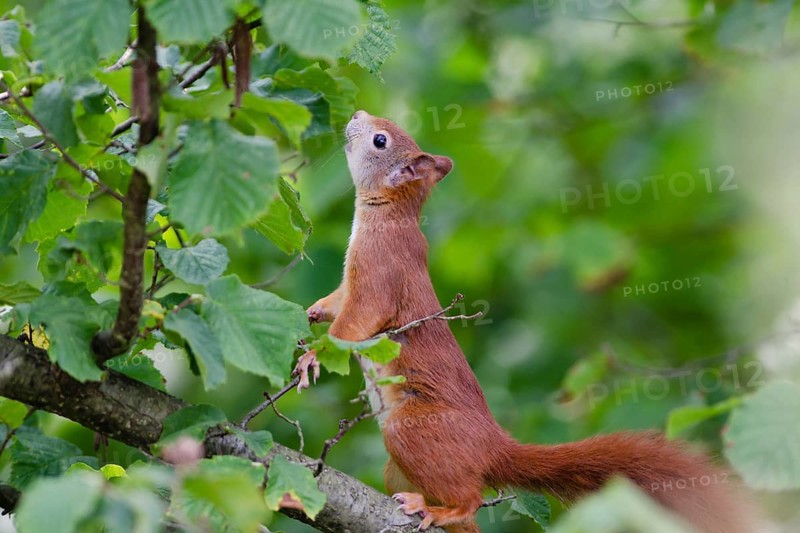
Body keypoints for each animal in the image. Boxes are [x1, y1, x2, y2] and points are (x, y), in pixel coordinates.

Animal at [297, 110, 757, 533]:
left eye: (380, 139)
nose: (357, 114)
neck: (388, 215)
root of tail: (493, 448)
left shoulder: (381, 269)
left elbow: (357, 319)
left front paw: (314, 356)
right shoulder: (350, 280)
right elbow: (338, 302)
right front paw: (312, 312)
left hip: (411, 431)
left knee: (468, 500)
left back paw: (440, 509)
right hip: (398, 468)